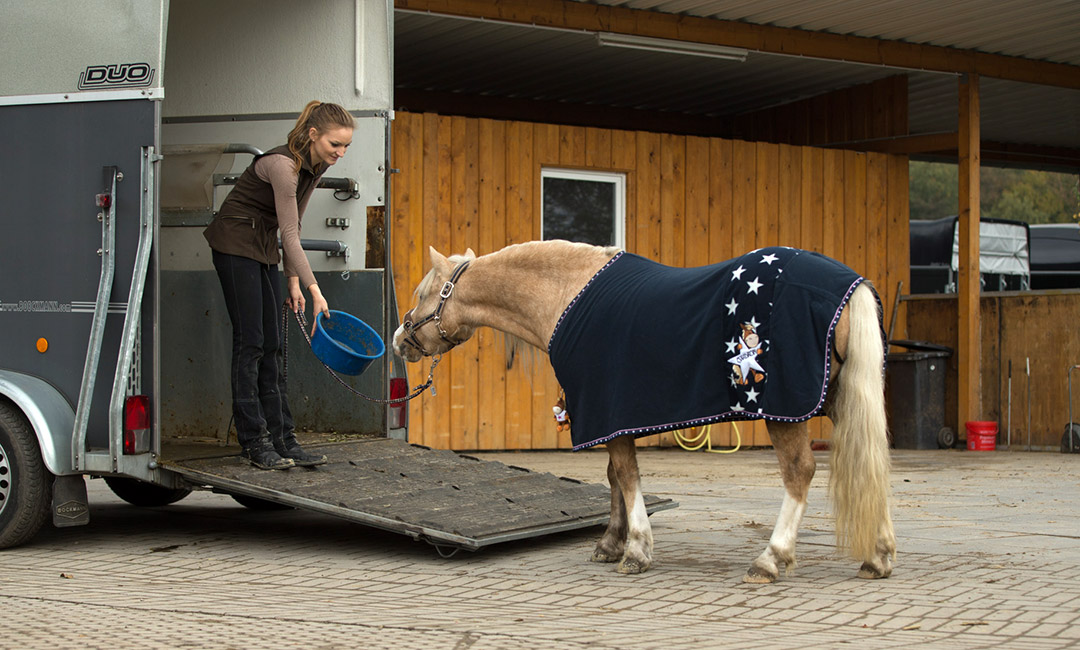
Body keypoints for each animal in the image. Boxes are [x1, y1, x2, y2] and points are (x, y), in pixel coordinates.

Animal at [395, 238, 894, 583]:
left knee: (799, 472)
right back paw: (878, 556)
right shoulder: (617, 418)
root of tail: (850, 286)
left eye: (422, 294)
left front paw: (635, 551)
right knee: (872, 462)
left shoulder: (607, 414)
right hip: (843, 400)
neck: (565, 294)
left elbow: (627, 477)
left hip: (782, 413)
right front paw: (610, 543)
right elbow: (615, 478)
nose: (401, 340)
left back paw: (770, 559)